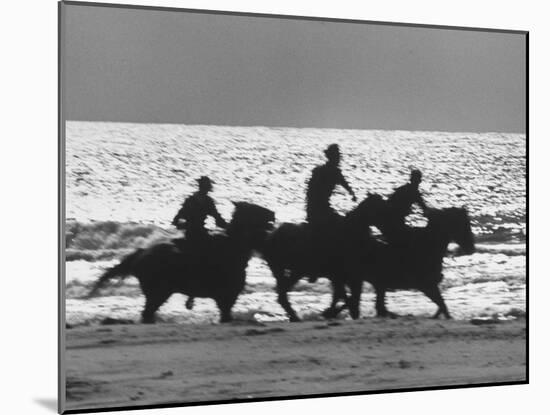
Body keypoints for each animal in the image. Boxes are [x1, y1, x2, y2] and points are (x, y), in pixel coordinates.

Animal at [88, 202, 276, 324]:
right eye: (254, 209)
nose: (273, 214)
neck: (233, 248)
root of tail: (141, 253)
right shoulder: (226, 297)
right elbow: (226, 315)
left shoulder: (226, 298)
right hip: (158, 293)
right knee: (147, 312)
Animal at [264, 193, 388, 324]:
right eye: (380, 207)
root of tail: (272, 236)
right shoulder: (344, 276)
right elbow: (346, 296)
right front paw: (333, 312)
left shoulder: (344, 276)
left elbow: (343, 295)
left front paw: (333, 312)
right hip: (293, 271)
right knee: (282, 294)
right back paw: (295, 317)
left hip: (285, 271)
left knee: (282, 293)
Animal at [326, 206, 476, 320]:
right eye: (463, 224)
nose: (471, 248)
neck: (427, 247)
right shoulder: (426, 285)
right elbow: (442, 305)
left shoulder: (429, 285)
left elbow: (442, 305)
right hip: (357, 280)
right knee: (350, 299)